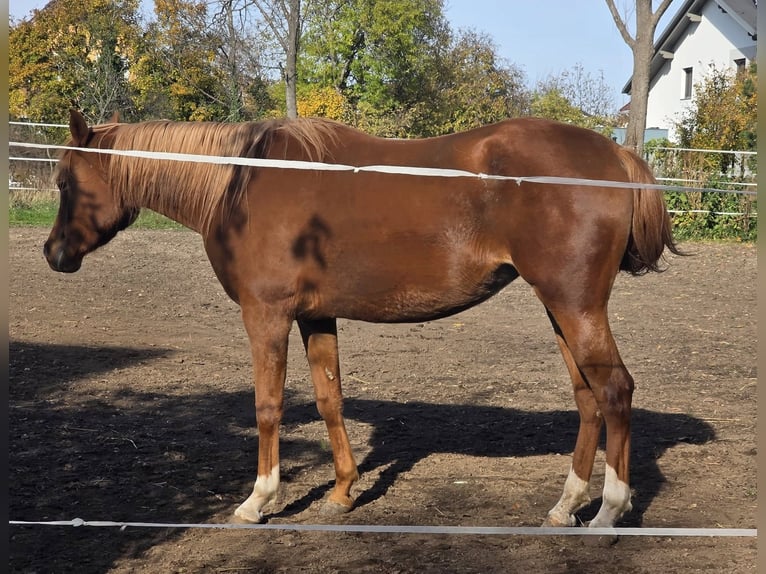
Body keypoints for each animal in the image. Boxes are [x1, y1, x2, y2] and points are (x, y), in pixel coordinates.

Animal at [44, 109, 679, 528]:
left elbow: (268, 407)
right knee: (588, 397)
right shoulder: (315, 317)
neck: (241, 184)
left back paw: (610, 512)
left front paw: (258, 500)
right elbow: (330, 399)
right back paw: (567, 506)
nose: (54, 254)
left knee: (615, 391)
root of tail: (614, 157)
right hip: (559, 307)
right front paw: (344, 491)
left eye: (66, 181)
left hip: (575, 305)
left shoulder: (266, 316)